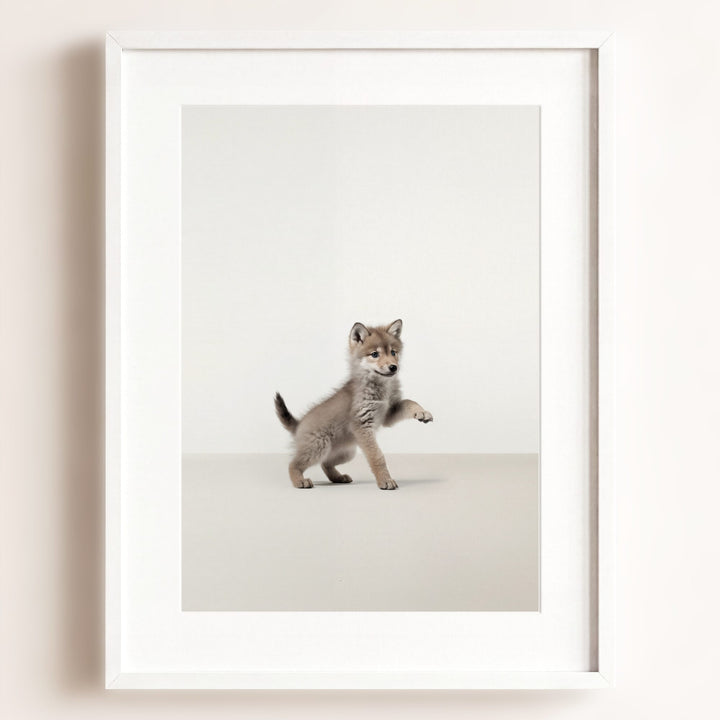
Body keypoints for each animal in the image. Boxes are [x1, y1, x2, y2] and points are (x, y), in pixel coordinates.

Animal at [274, 319, 433, 490]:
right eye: (375, 354)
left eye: (393, 352)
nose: (393, 367)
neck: (381, 388)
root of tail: (298, 424)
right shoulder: (363, 425)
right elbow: (377, 457)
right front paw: (385, 480)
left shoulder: (388, 414)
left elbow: (409, 402)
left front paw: (422, 412)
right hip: (319, 447)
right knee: (293, 464)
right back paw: (299, 481)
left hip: (346, 453)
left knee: (325, 463)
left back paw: (338, 477)